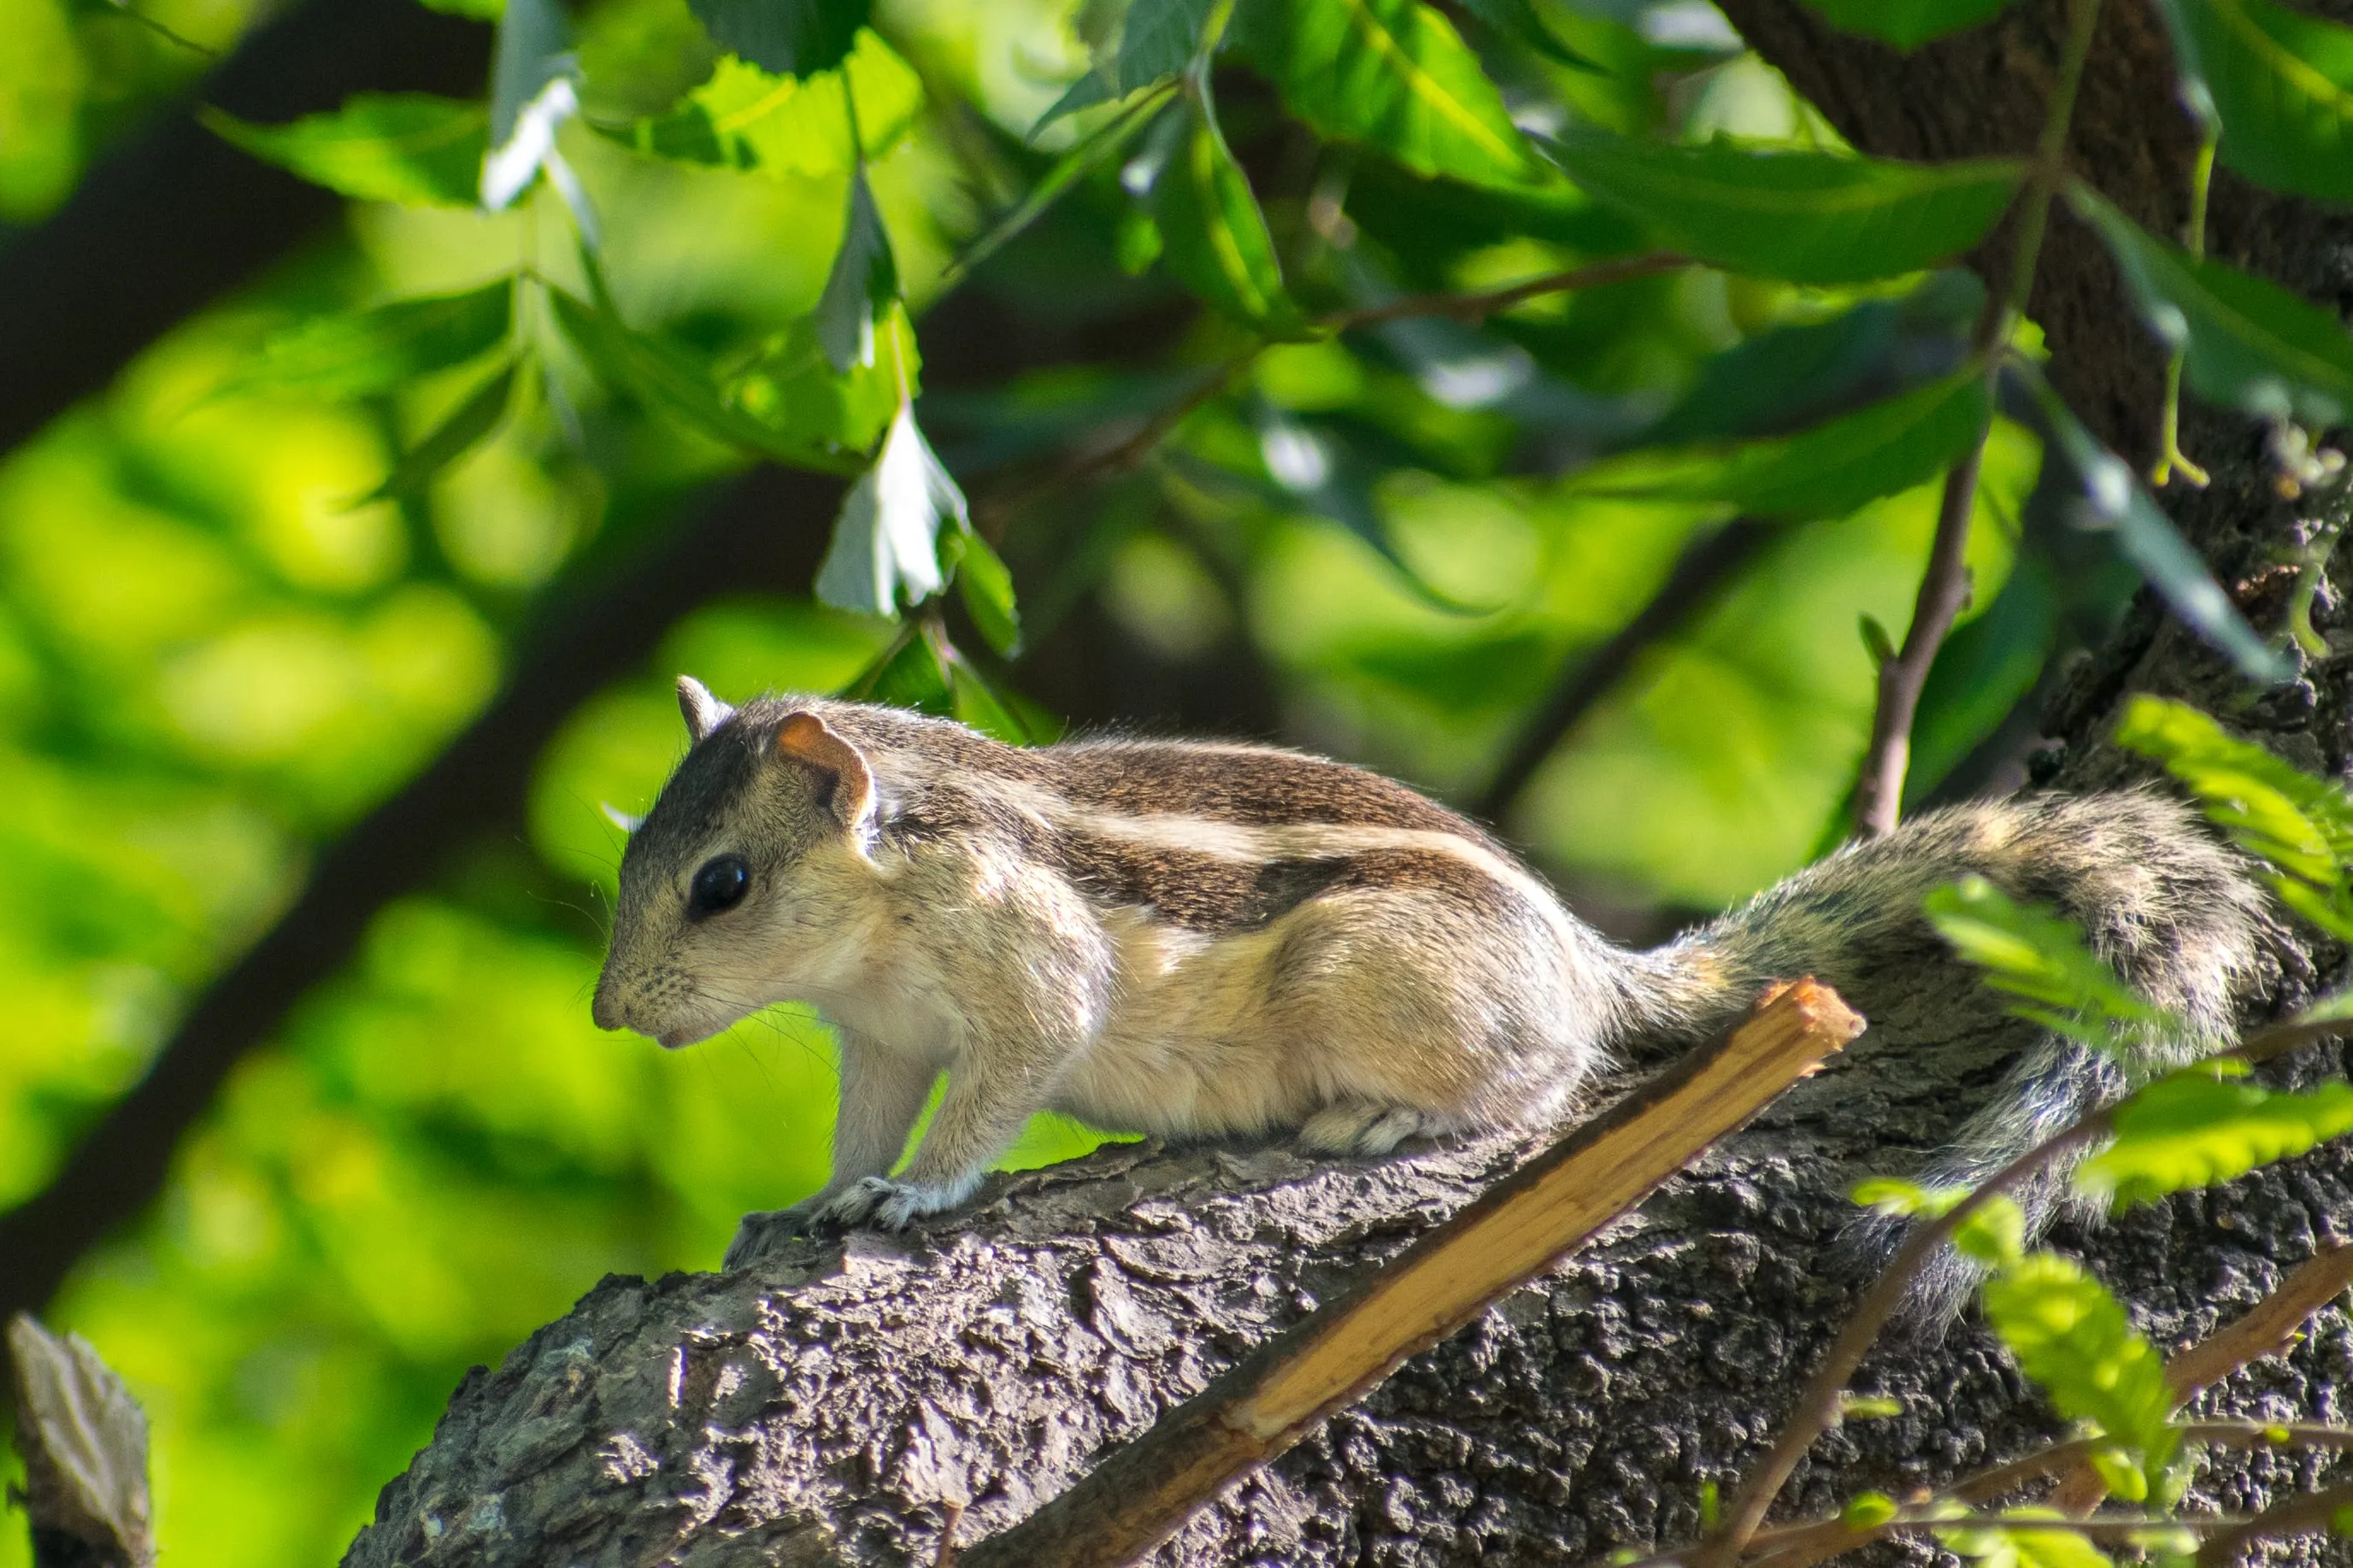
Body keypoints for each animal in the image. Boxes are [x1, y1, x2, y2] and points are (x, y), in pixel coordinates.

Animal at [593, 676, 2267, 1279]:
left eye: (721, 883)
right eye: (631, 855)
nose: (610, 1012)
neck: (881, 905)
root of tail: (1589, 969)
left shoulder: (1024, 969)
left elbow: (992, 1093)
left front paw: (915, 1195)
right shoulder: (875, 1036)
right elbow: (865, 1117)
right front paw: (815, 1203)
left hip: (1382, 978)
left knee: (1545, 1084)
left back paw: (1391, 1120)